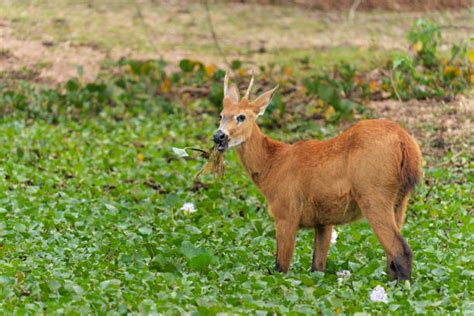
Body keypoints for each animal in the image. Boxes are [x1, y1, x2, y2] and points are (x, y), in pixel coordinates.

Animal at [212, 73, 422, 280]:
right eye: (221, 115)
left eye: (241, 117)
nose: (218, 136)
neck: (271, 166)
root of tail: (405, 141)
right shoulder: (323, 221)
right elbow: (317, 267)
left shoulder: (286, 212)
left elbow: (281, 267)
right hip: (400, 201)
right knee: (391, 258)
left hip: (373, 194)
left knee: (401, 251)